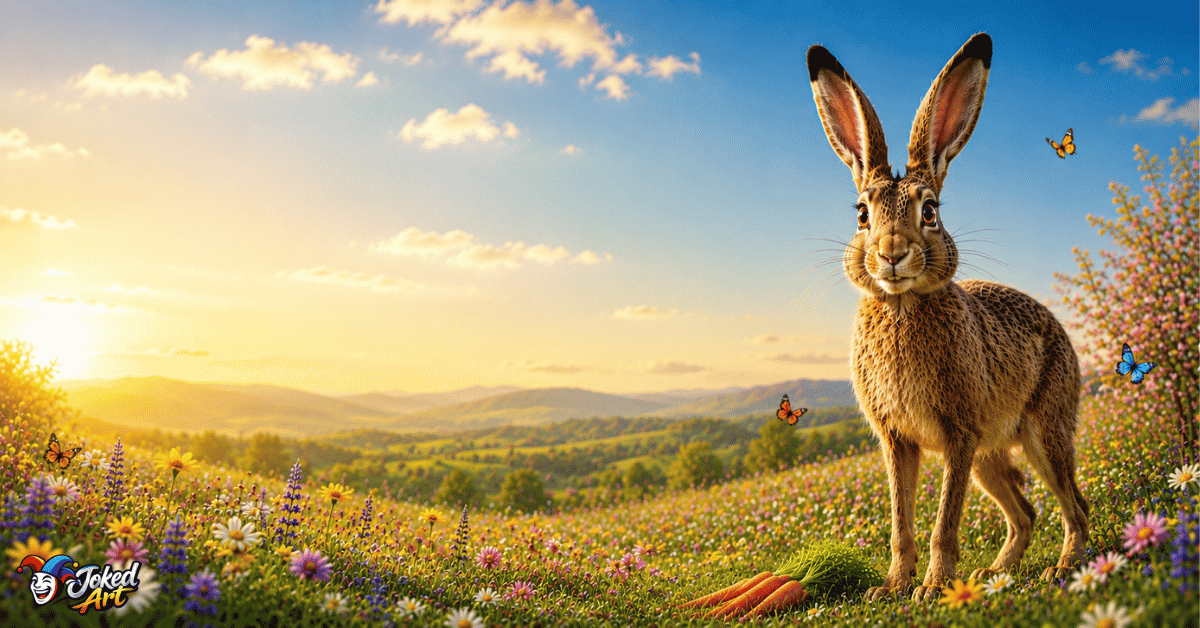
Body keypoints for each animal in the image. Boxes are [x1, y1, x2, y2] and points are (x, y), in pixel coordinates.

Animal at [805, 32, 1088, 601]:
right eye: (862, 214)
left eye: (930, 211)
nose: (892, 253)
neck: (900, 305)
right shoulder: (900, 441)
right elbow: (901, 523)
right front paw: (891, 587)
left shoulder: (960, 433)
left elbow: (943, 523)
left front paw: (932, 588)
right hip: (988, 459)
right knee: (1026, 514)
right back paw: (990, 575)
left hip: (1041, 433)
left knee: (1073, 506)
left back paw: (1062, 567)